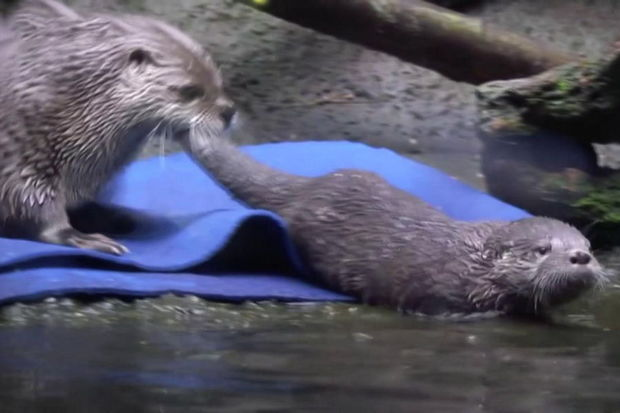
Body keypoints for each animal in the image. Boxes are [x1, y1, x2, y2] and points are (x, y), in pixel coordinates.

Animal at [0, 0, 235, 254]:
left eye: (219, 81)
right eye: (189, 90)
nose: (228, 112)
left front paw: (111, 217)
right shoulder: (23, 150)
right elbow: (30, 202)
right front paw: (78, 236)